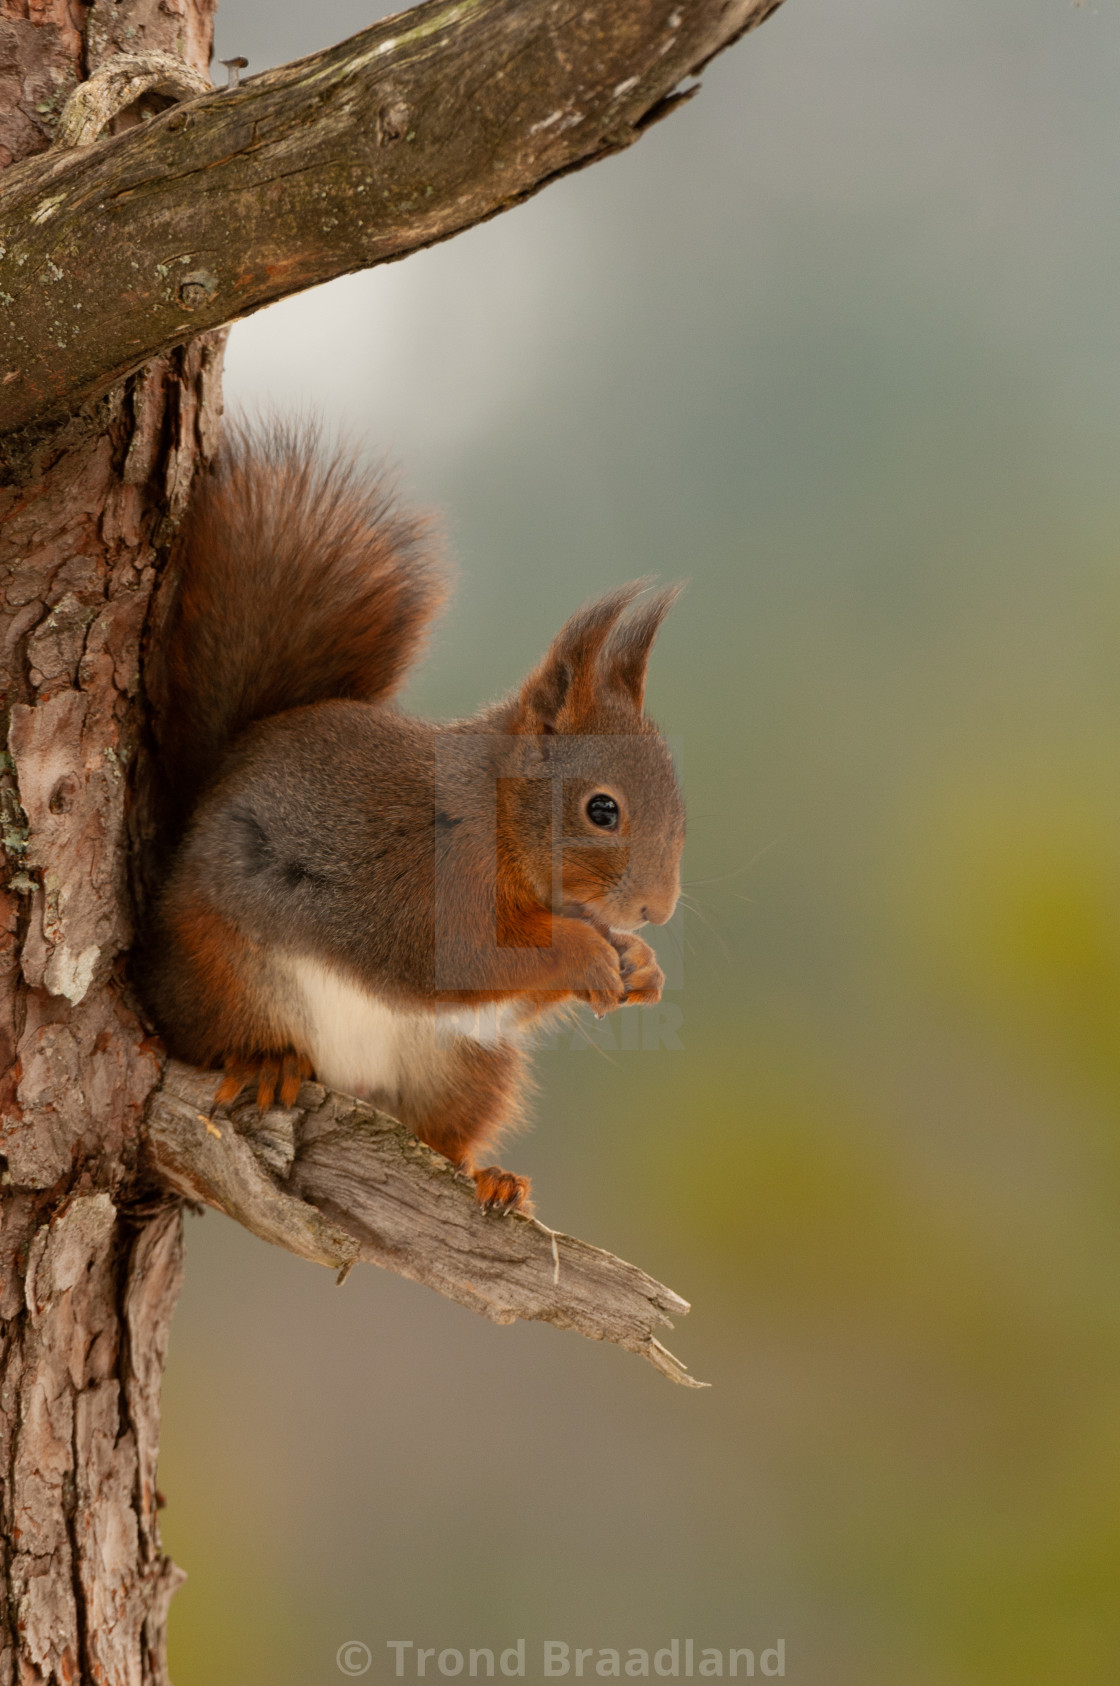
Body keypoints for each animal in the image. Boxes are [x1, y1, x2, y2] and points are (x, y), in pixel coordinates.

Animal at [144, 421, 688, 1213]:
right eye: (602, 810)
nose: (657, 910)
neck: (495, 815)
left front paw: (641, 966)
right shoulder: (420, 882)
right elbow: (464, 958)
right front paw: (587, 951)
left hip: (463, 1068)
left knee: (438, 1135)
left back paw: (488, 1177)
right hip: (223, 974)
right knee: (213, 1034)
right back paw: (265, 1060)